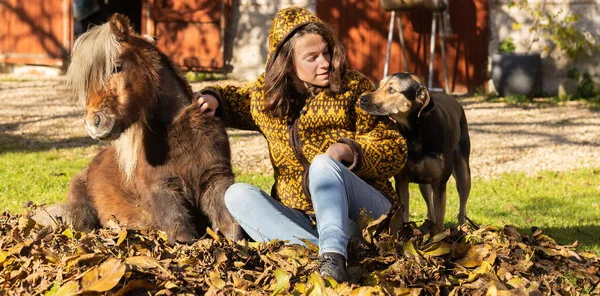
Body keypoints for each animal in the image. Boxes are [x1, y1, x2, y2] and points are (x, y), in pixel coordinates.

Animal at [65, 13, 241, 243]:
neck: (181, 135)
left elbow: (234, 231)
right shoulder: (163, 192)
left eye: (116, 67)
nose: (94, 124)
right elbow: (185, 237)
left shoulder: (216, 181)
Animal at [358, 71, 472, 231]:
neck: (415, 133)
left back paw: (463, 228)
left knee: (462, 205)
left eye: (391, 90)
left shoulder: (439, 184)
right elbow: (404, 214)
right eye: (379, 85)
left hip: (463, 172)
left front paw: (439, 235)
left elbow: (440, 220)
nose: (362, 99)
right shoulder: (402, 182)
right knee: (430, 207)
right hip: (424, 183)